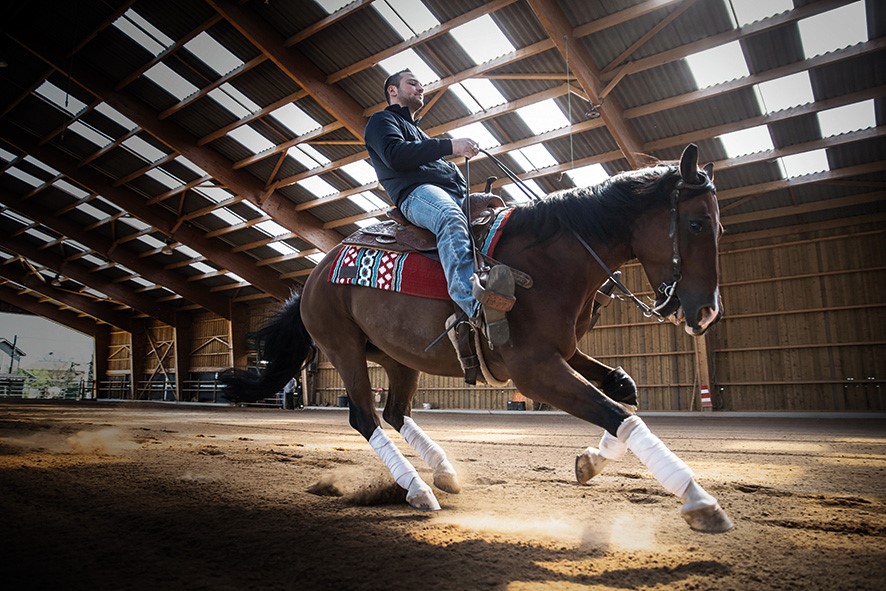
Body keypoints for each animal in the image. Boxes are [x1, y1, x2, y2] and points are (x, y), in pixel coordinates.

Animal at [222, 146, 736, 536]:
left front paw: (589, 461)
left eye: (719, 227)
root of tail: (313, 276)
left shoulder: (563, 353)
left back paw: (443, 473)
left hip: (396, 357)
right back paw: (417, 488)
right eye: (695, 224)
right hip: (343, 348)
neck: (551, 259)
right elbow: (620, 416)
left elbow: (622, 395)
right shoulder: (533, 369)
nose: (707, 312)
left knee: (396, 413)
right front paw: (699, 498)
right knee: (365, 417)